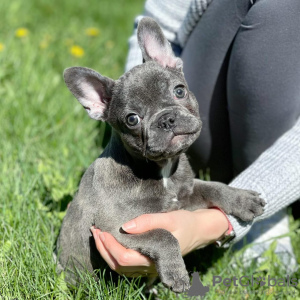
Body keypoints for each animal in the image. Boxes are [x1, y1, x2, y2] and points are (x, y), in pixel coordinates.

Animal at [56, 17, 264, 292]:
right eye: (132, 119)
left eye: (179, 91)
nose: (166, 119)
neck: (162, 172)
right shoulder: (116, 227)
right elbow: (163, 235)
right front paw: (177, 274)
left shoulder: (185, 195)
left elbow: (213, 187)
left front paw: (242, 200)